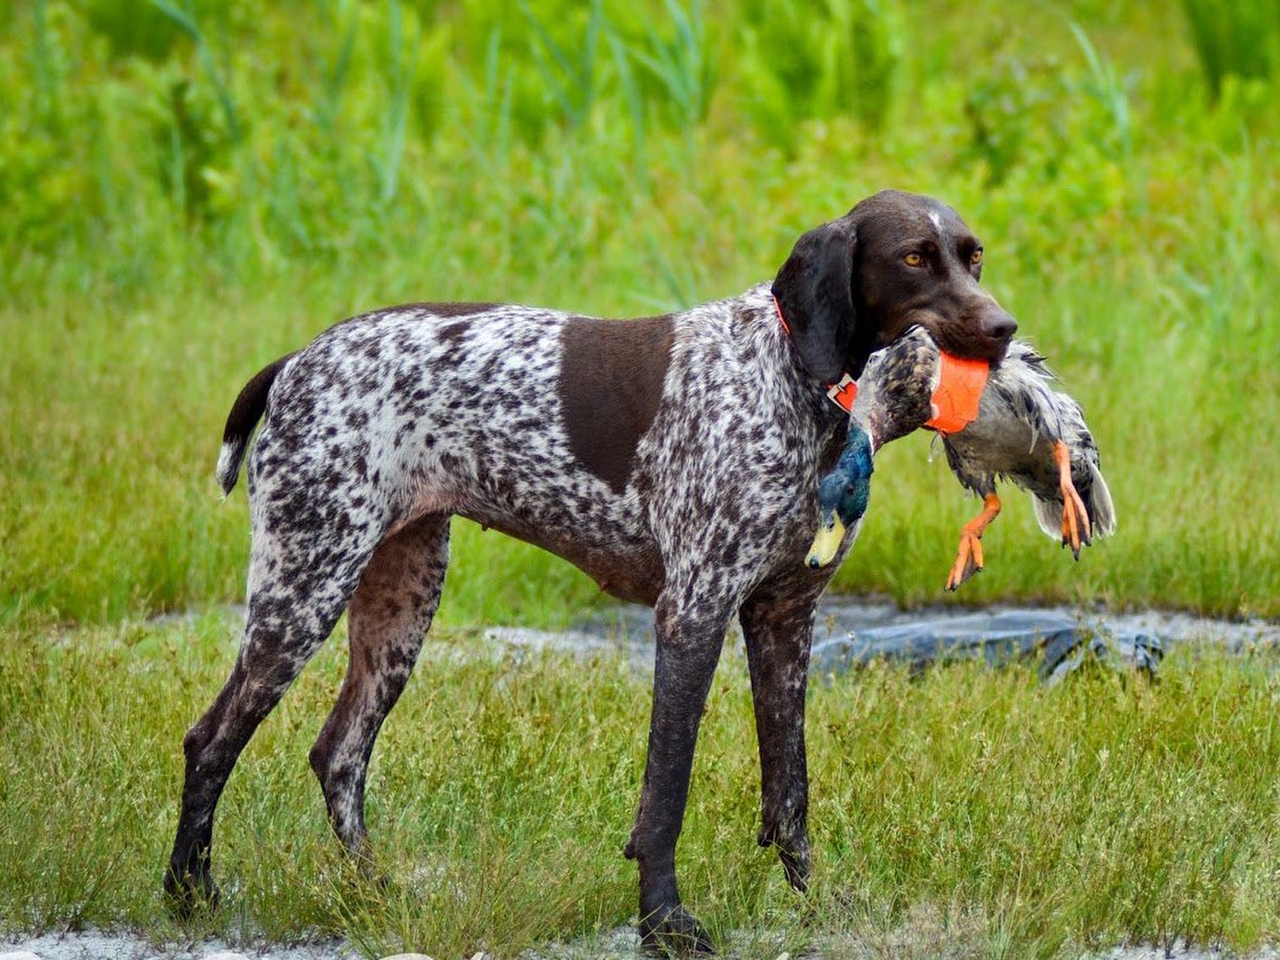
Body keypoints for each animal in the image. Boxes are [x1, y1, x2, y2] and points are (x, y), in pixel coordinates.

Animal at [165, 188, 1013, 957]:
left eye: (973, 256)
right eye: (913, 259)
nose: (1004, 329)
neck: (791, 381)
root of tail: (297, 360)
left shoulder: (784, 620)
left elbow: (789, 789)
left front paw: (811, 905)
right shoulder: (693, 615)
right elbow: (665, 795)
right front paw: (665, 923)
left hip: (400, 603)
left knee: (338, 754)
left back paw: (376, 892)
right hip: (304, 586)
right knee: (211, 740)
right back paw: (188, 894)